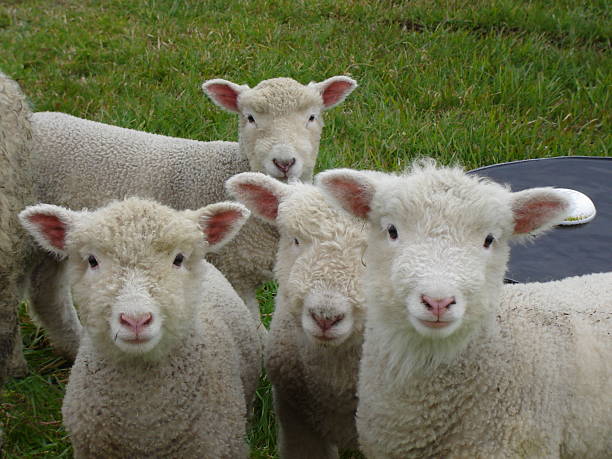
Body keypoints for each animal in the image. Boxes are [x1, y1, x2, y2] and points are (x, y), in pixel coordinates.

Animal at [26, 75, 356, 360]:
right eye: (249, 118)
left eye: (312, 117)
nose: (284, 162)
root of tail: (34, 119)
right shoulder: (232, 272)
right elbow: (250, 328)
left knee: (46, 294)